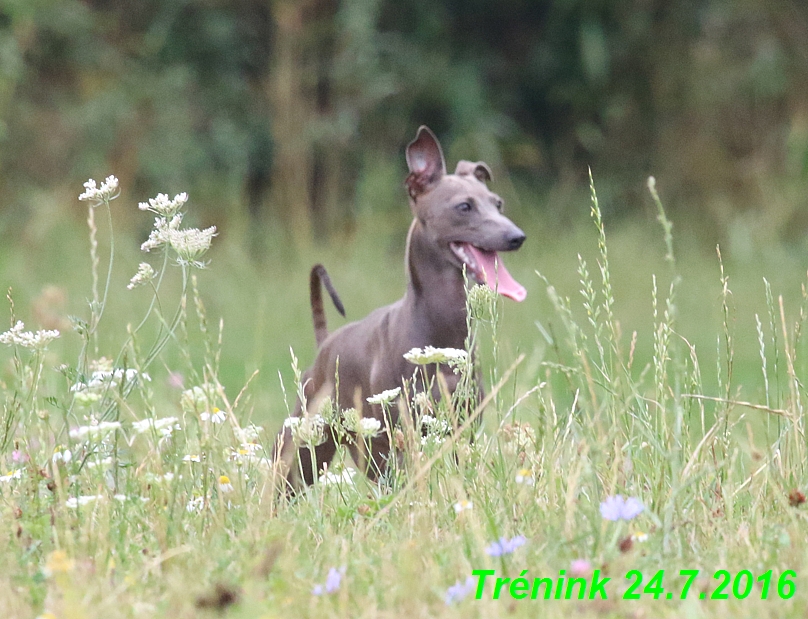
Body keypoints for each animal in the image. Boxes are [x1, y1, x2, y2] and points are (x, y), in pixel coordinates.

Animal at [274, 128, 524, 492]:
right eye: (464, 206)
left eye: (498, 204)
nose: (516, 236)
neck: (441, 330)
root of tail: (324, 346)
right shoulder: (399, 437)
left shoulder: (462, 430)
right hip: (304, 448)